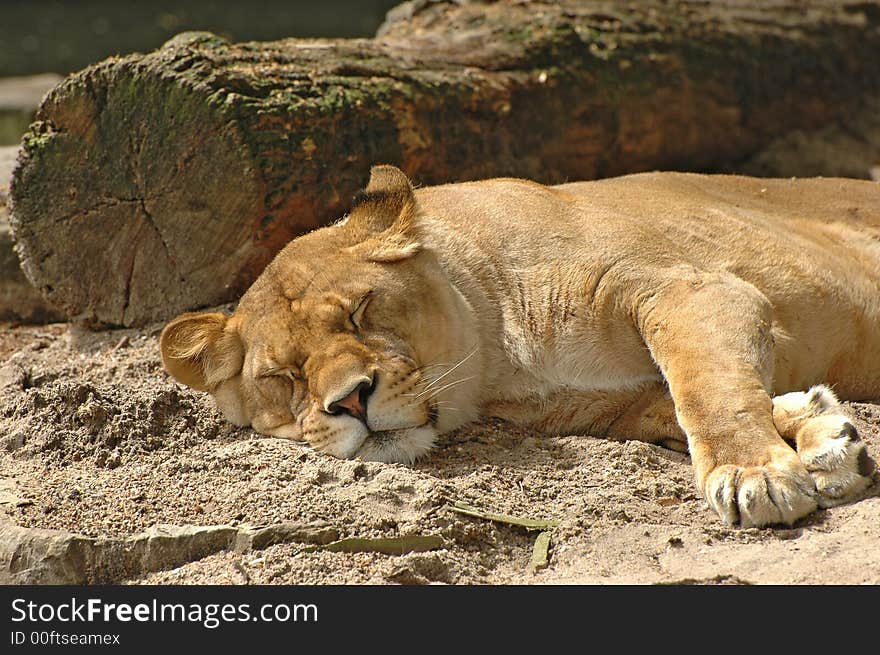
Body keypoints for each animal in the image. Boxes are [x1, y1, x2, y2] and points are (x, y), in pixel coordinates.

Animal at [162, 165, 876, 528]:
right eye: (283, 377)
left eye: (361, 312)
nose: (351, 402)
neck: (501, 362)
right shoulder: (598, 406)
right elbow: (682, 401)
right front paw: (821, 435)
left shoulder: (692, 287)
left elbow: (707, 387)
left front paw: (755, 474)